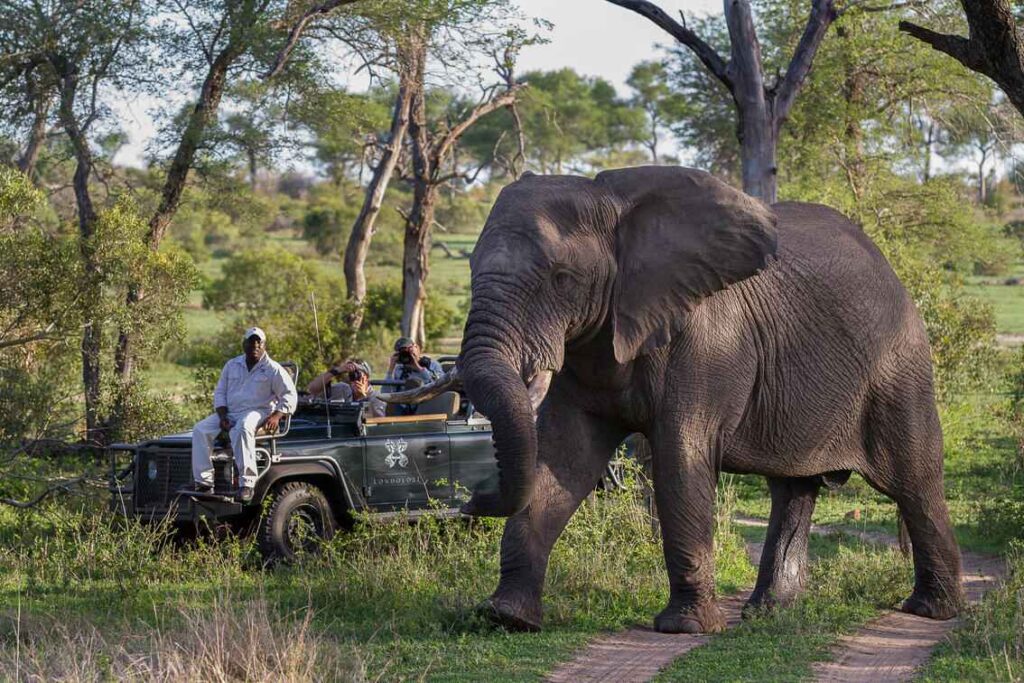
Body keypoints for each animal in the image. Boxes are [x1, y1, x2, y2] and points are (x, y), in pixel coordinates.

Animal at [407, 165, 963, 634]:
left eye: (562, 279)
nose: (470, 499)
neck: (612, 202)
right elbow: (563, 461)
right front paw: (507, 618)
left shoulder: (707, 341)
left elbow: (680, 458)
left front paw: (685, 628)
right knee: (792, 489)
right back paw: (768, 613)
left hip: (898, 365)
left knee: (914, 480)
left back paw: (932, 611)